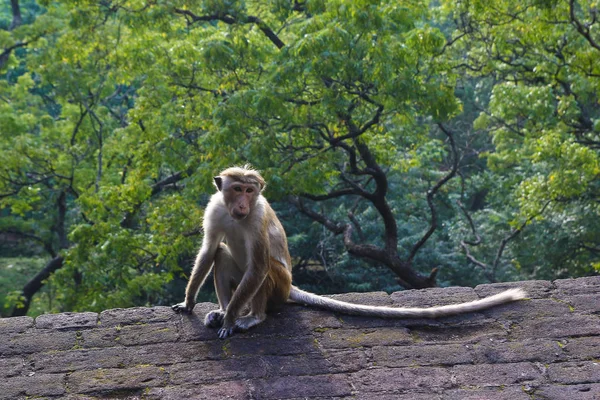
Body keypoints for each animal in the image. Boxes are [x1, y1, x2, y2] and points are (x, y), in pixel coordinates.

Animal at [172, 165, 524, 338]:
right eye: (236, 189)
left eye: (250, 190)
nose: (243, 203)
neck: (238, 215)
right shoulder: (216, 208)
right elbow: (209, 249)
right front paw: (190, 303)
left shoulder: (257, 217)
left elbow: (258, 266)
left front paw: (231, 320)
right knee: (222, 255)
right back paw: (223, 310)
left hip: (280, 286)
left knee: (267, 269)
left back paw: (251, 316)